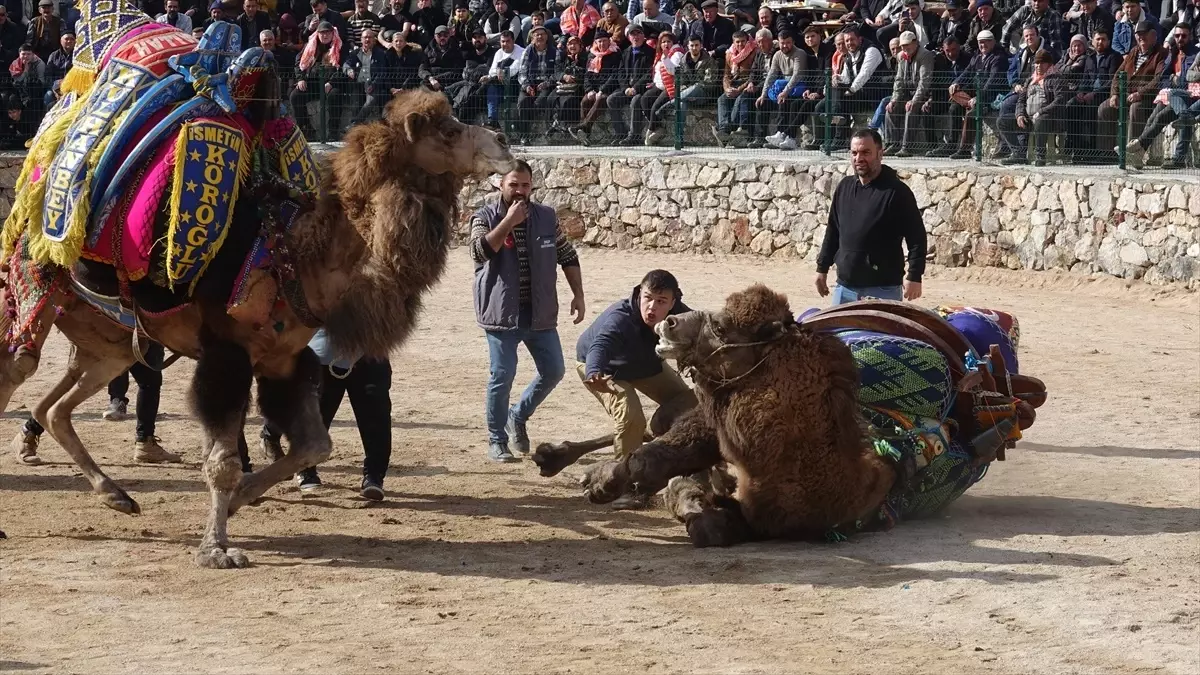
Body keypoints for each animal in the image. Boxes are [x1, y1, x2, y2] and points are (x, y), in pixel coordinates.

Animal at [549, 285, 1046, 542]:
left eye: (722, 325)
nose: (668, 323)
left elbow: (708, 522)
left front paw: (689, 499)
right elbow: (660, 457)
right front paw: (604, 483)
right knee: (657, 429)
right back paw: (558, 458)